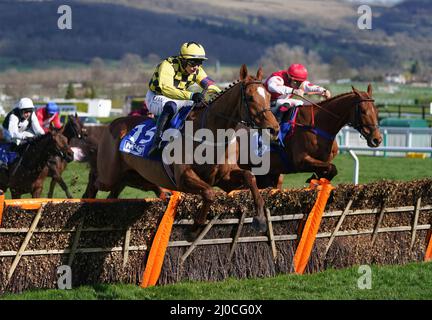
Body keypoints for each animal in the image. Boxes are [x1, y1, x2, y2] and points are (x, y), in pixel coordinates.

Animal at [93, 63, 278, 236]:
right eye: (250, 97)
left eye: (269, 96)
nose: (274, 129)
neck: (210, 134)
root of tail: (113, 124)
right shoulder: (183, 177)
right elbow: (209, 193)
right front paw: (195, 228)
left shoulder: (224, 178)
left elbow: (249, 177)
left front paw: (260, 219)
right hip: (108, 176)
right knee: (96, 183)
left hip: (133, 175)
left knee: (125, 187)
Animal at [253, 84, 382, 189]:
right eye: (363, 111)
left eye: (376, 111)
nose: (377, 139)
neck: (317, 125)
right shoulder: (301, 160)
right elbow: (332, 168)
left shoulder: (323, 161)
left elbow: (330, 171)